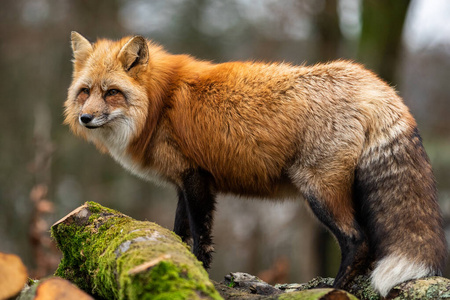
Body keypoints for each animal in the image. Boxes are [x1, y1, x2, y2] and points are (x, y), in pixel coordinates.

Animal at [64, 32, 446, 296]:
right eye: (85, 92)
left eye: (111, 92)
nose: (85, 118)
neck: (160, 104)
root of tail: (375, 84)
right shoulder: (184, 182)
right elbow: (179, 234)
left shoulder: (196, 178)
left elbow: (200, 239)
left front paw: (199, 273)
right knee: (369, 245)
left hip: (318, 191)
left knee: (358, 241)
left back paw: (328, 290)